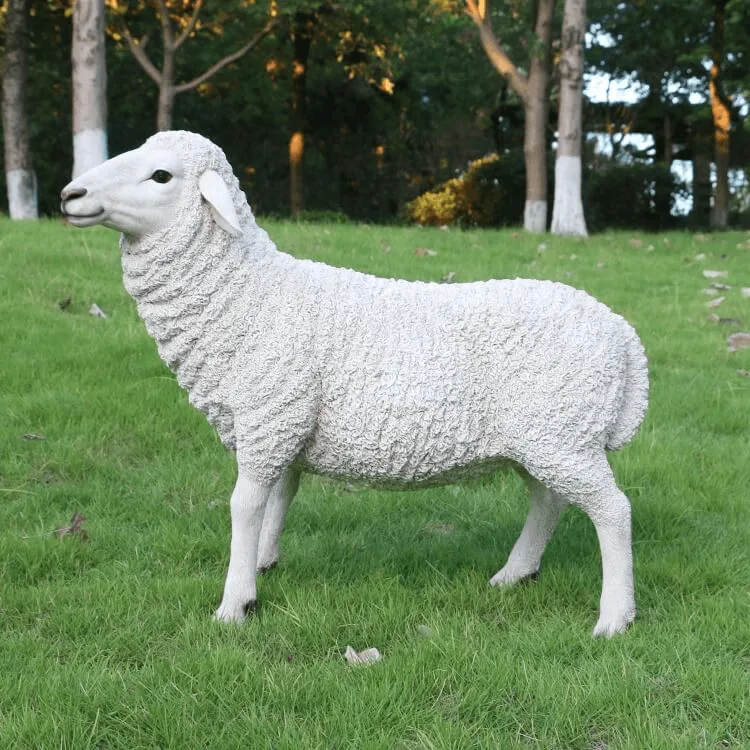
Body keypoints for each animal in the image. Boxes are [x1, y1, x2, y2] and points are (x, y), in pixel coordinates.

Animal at [60, 130, 649, 637]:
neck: (249, 295)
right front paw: (264, 565)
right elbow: (280, 498)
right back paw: (514, 574)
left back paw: (614, 617)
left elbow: (245, 506)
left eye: (161, 175)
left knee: (613, 511)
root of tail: (624, 336)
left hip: (560, 433)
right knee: (549, 503)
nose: (70, 194)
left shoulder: (269, 417)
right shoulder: (284, 426)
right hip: (544, 436)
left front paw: (234, 603)